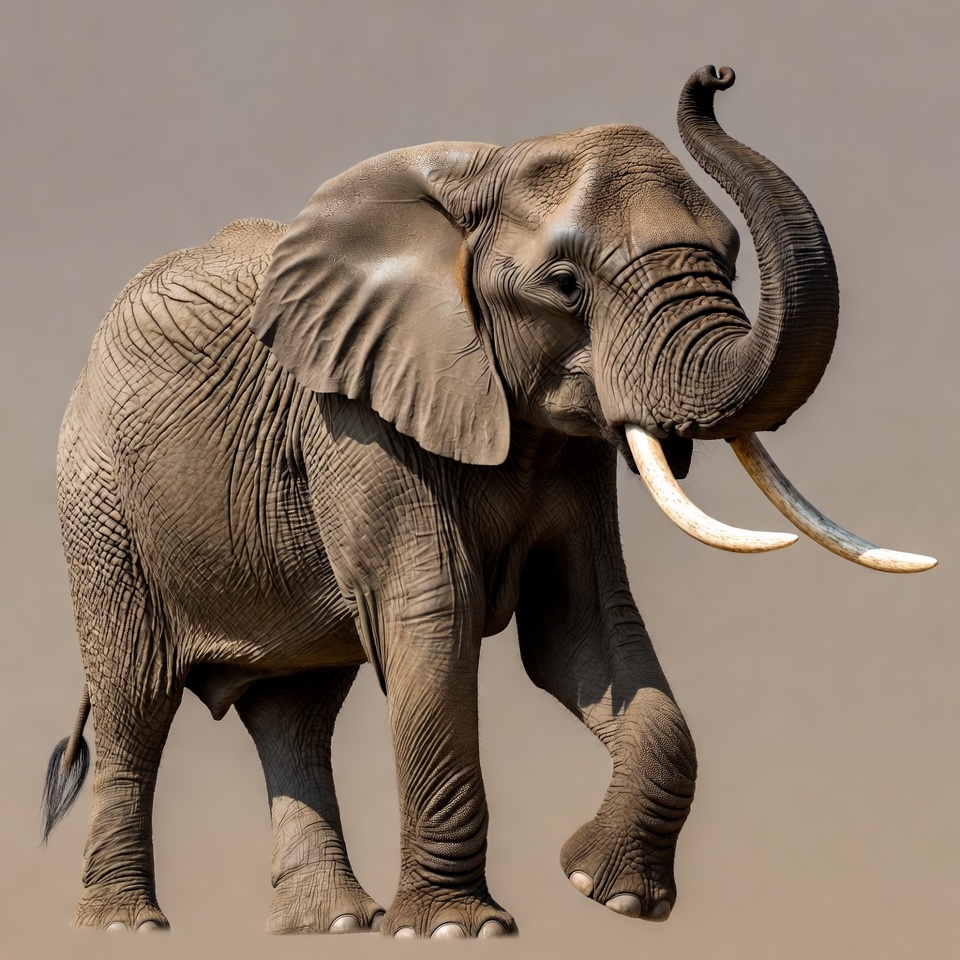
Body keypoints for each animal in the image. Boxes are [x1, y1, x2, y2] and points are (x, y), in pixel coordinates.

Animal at [41, 65, 935, 939]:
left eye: (732, 259)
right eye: (565, 285)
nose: (715, 76)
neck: (481, 174)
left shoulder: (567, 447)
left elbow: (582, 627)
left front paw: (606, 891)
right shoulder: (354, 416)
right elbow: (436, 614)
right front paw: (451, 930)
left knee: (295, 709)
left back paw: (331, 924)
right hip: (98, 500)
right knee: (137, 700)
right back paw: (125, 927)